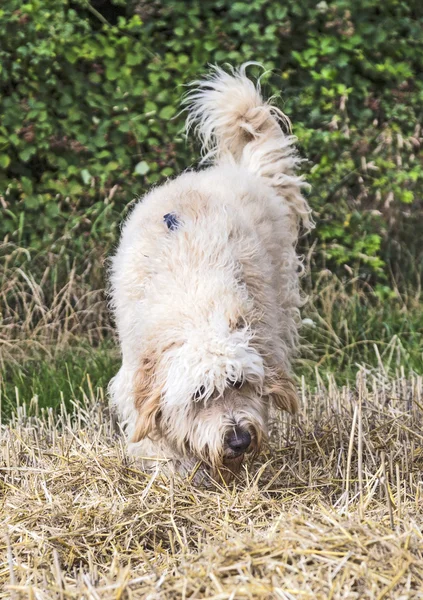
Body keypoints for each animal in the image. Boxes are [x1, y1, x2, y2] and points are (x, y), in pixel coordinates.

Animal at [107, 64, 314, 482]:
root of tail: (242, 171)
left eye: (240, 382)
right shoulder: (137, 372)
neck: (193, 298)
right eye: (199, 396)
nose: (239, 440)